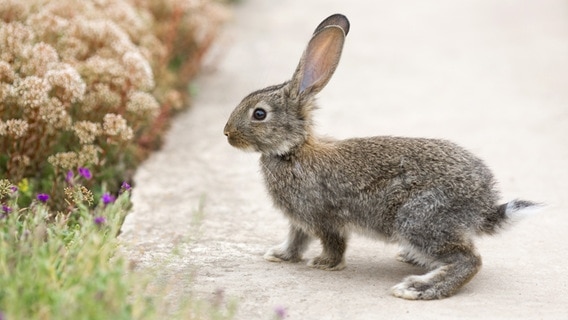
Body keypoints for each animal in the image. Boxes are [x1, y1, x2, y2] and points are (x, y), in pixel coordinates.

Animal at [222, 13, 540, 300]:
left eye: (259, 114)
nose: (226, 133)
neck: (293, 150)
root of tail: (483, 202)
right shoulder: (299, 220)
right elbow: (296, 239)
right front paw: (280, 255)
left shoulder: (322, 216)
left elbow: (332, 242)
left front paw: (324, 264)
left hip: (418, 218)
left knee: (469, 260)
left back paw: (418, 288)